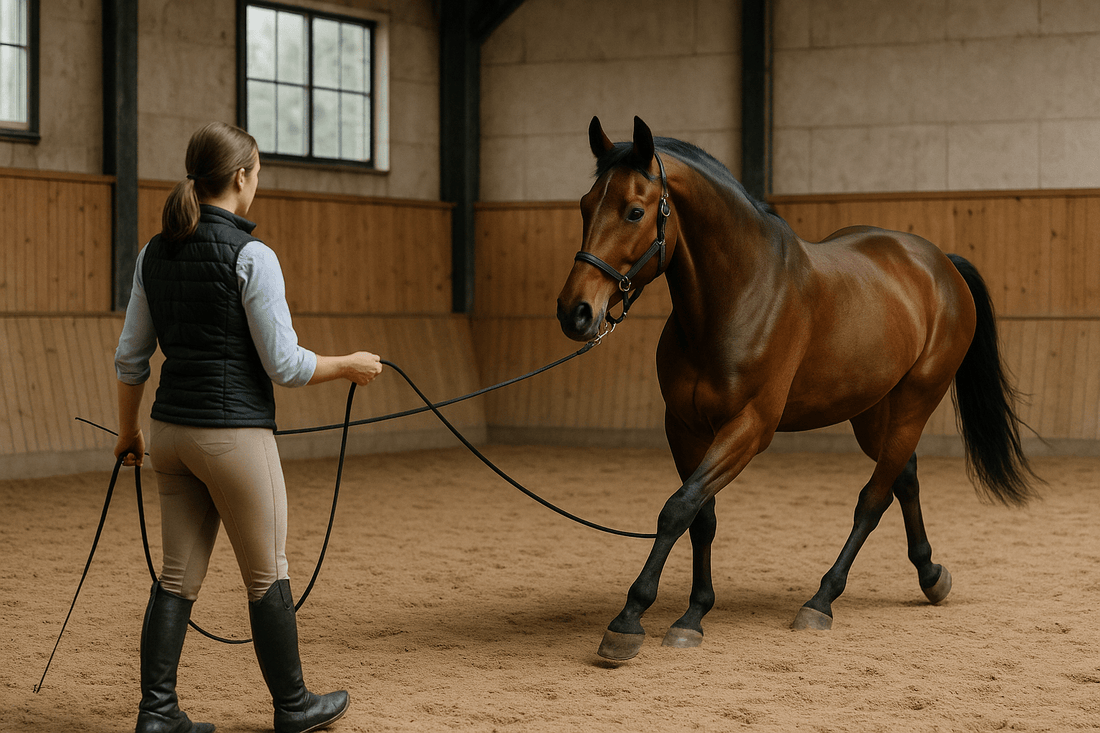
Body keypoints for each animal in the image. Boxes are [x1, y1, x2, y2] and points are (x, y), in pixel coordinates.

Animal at [556, 116, 1037, 661]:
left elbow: (678, 508)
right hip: (872, 412)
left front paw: (629, 618)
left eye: (635, 211)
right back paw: (930, 574)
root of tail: (941, 265)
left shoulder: (748, 428)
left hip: (916, 402)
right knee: (904, 478)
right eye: (585, 205)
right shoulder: (684, 427)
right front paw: (694, 614)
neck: (740, 296)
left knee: (873, 499)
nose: (575, 312)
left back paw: (821, 601)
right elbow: (700, 514)